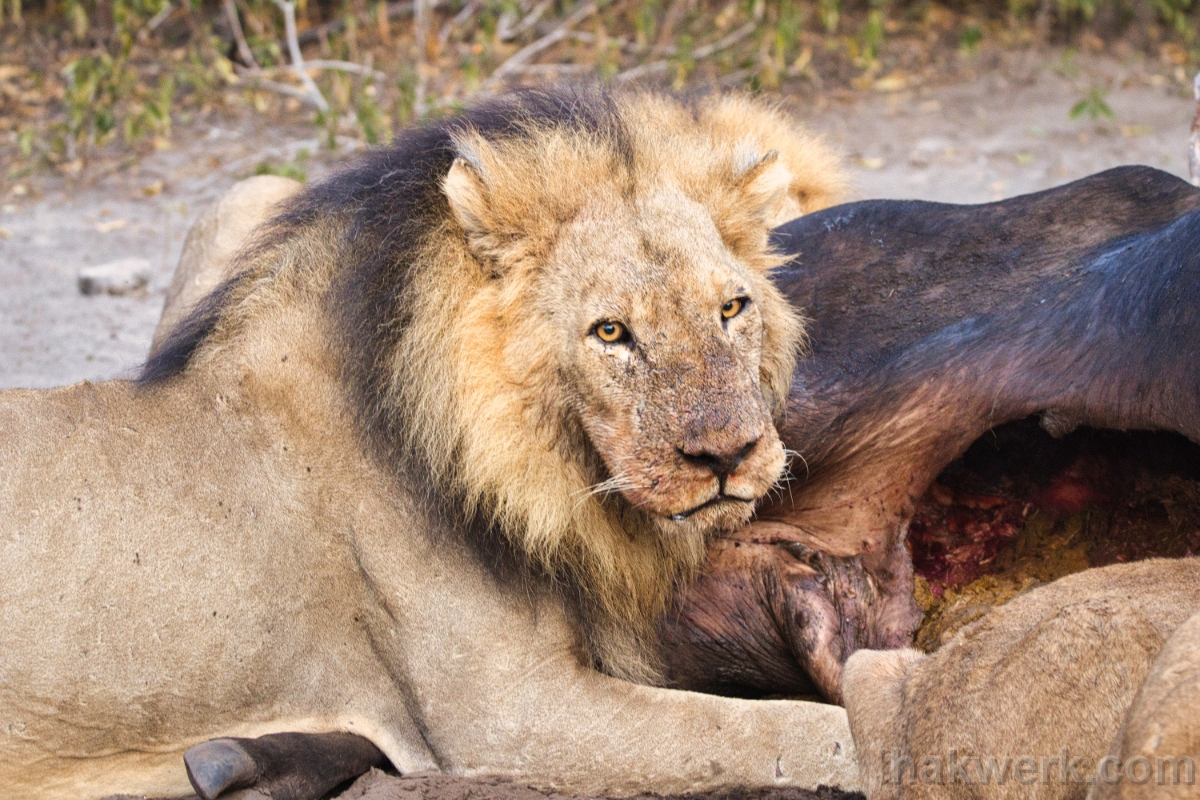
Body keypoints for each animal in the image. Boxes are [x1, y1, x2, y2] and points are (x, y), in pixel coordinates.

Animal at [0, 89, 854, 800]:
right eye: (611, 332)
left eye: (732, 308)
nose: (729, 455)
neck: (544, 474)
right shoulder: (509, 716)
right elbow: (785, 732)